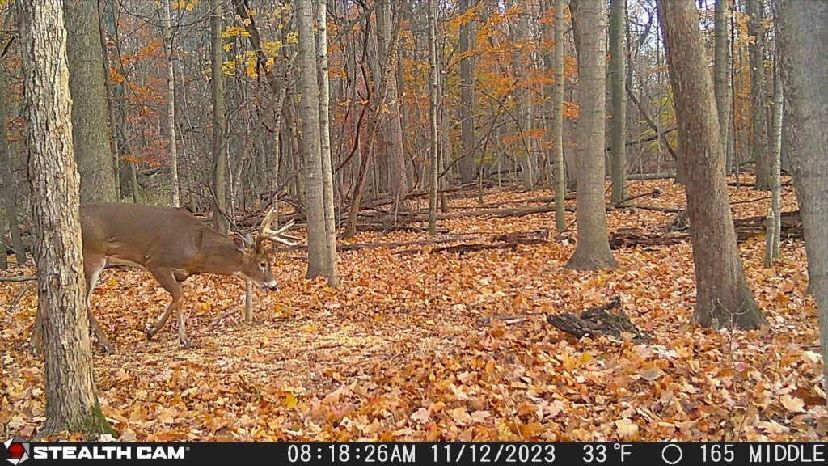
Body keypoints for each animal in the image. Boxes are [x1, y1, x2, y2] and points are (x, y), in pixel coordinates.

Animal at [79, 202, 298, 352]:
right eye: (262, 263)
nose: (274, 285)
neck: (198, 249)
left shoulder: (180, 273)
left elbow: (178, 298)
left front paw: (172, 335)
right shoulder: (156, 261)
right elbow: (178, 295)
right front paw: (159, 333)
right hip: (92, 256)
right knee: (85, 300)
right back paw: (106, 344)